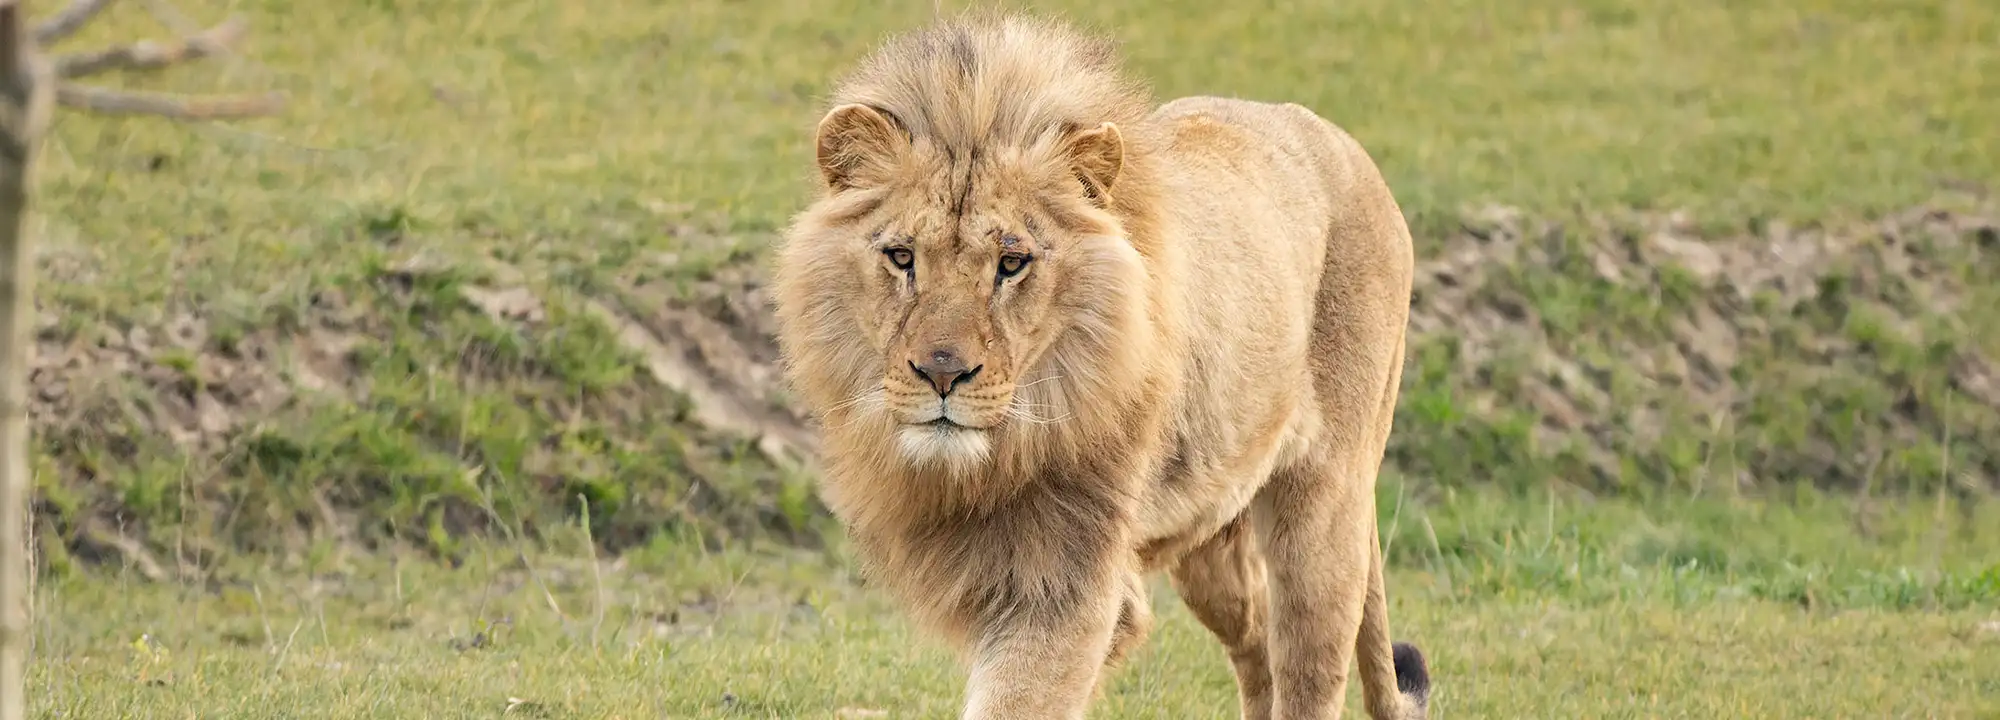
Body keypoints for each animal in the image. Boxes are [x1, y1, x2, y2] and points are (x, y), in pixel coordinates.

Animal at [768, 12, 1432, 720]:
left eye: (1012, 263)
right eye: (901, 257)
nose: (943, 374)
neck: (995, 459)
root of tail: (1340, 140)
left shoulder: (1067, 585)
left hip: (1324, 513)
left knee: (1309, 665)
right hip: (1212, 533)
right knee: (1256, 647)